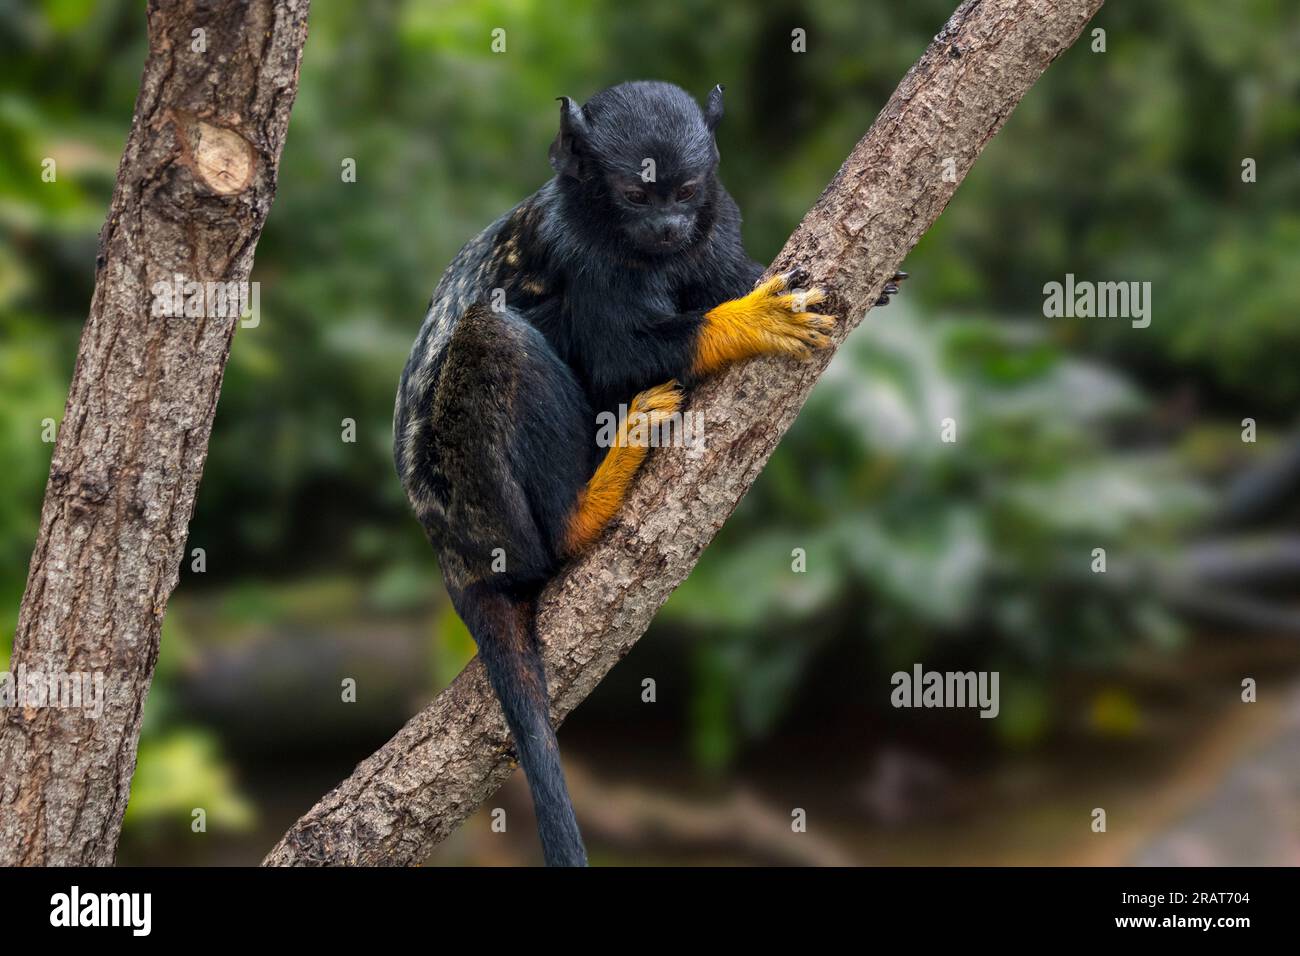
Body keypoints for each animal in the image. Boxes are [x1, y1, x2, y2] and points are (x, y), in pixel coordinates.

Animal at [392, 82, 904, 868]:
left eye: (685, 191)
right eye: (637, 195)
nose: (666, 227)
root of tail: (453, 555)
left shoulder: (717, 221)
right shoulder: (584, 255)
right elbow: (619, 356)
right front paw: (747, 322)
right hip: (482, 505)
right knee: (494, 333)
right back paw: (584, 509)